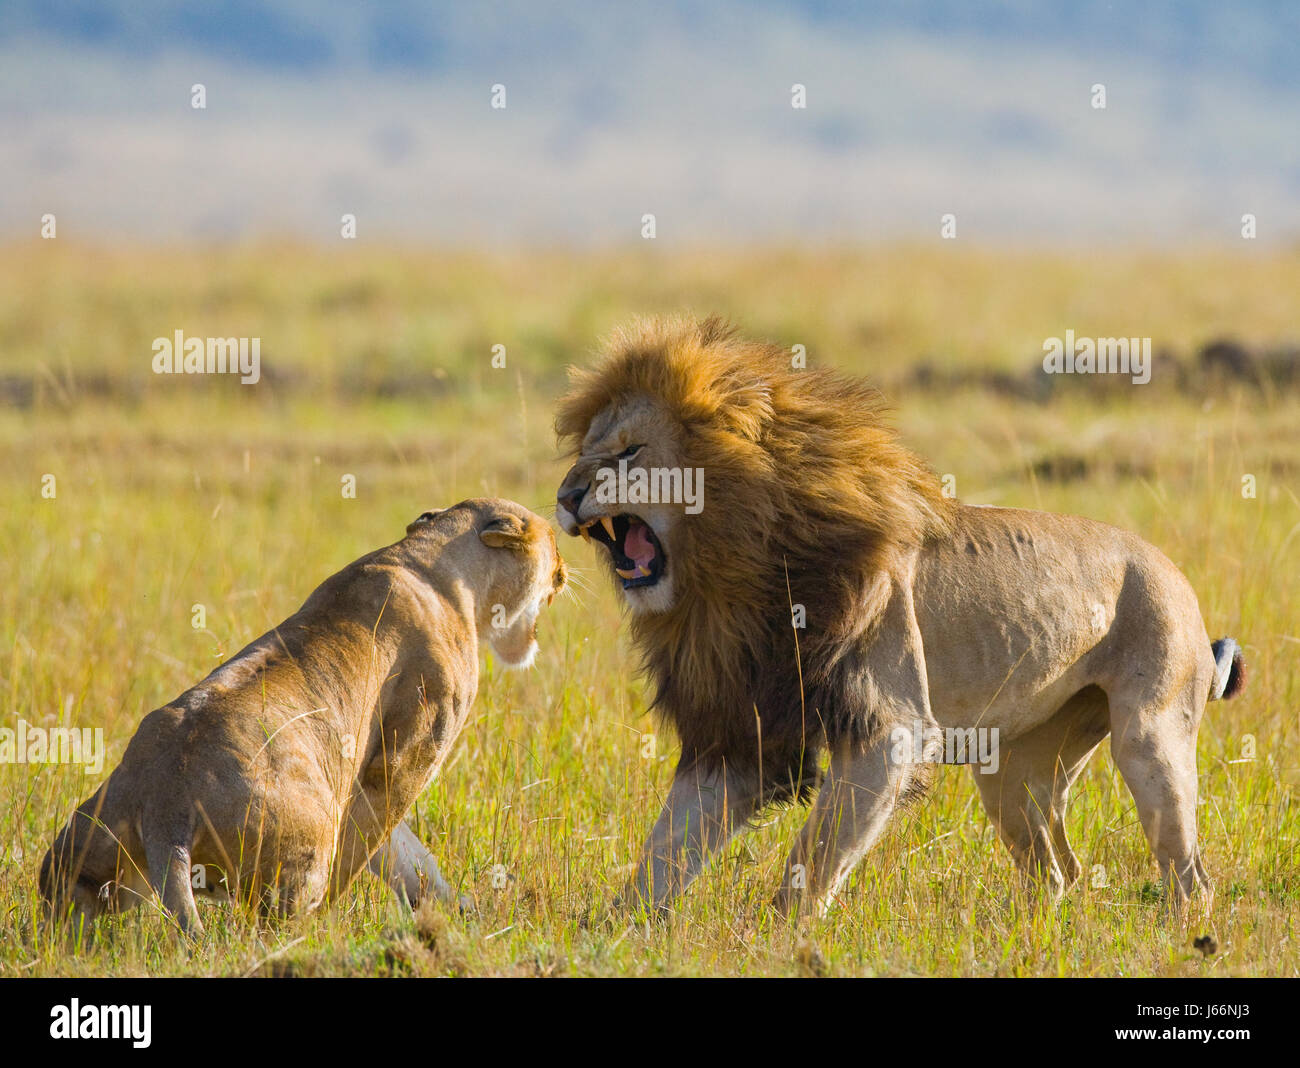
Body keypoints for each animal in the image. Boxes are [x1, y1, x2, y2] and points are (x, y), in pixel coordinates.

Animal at [41, 498, 566, 936]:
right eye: (553, 544)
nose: (563, 572)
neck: (431, 560)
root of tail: (164, 806)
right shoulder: (402, 759)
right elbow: (372, 845)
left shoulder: (361, 778)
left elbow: (405, 854)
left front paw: (461, 914)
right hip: (303, 849)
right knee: (275, 923)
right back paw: (305, 936)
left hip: (79, 851)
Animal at [554, 316, 1246, 915]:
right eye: (584, 452)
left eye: (629, 453)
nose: (564, 497)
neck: (734, 570)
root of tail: (1178, 578)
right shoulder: (737, 729)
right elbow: (665, 849)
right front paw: (618, 930)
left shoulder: (887, 727)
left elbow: (813, 858)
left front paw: (775, 938)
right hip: (1015, 769)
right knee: (1059, 872)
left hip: (1149, 735)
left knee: (1189, 874)